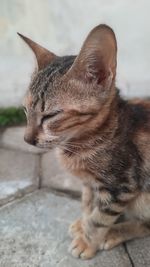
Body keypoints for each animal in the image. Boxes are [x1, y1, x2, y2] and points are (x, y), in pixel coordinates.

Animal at [18, 24, 150, 260]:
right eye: (25, 110)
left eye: (50, 115)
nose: (27, 139)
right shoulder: (90, 183)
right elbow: (88, 203)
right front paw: (83, 223)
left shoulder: (121, 186)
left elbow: (99, 219)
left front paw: (88, 241)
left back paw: (115, 232)